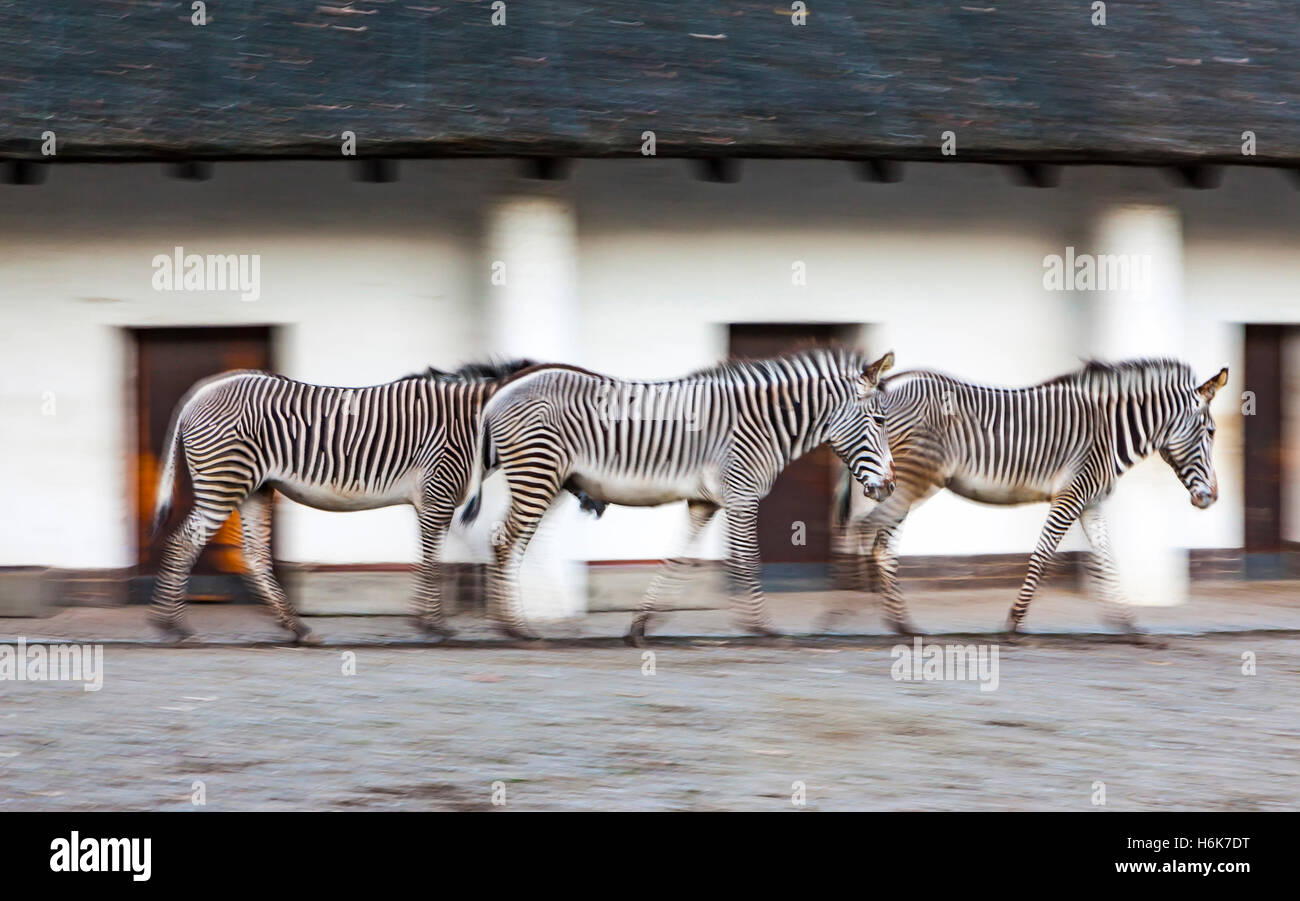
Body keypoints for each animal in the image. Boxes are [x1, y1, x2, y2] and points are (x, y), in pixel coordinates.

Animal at [148, 356, 538, 642]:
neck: (472, 425)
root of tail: (202, 391)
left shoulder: (433, 502)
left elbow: (438, 556)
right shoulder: (436, 494)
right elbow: (433, 560)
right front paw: (434, 624)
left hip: (253, 489)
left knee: (255, 556)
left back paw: (296, 627)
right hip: (224, 481)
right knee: (184, 542)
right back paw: (172, 625)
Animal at [462, 348, 899, 642]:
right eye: (879, 420)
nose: (890, 487)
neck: (761, 425)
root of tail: (502, 390)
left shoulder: (705, 502)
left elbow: (676, 559)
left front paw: (641, 625)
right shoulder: (741, 495)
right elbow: (747, 560)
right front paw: (761, 627)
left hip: (546, 481)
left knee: (512, 544)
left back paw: (513, 622)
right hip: (537, 475)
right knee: (503, 543)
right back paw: (513, 628)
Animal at [832, 356, 1227, 637]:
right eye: (1210, 431)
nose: (1212, 497)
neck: (1110, 433)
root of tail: (891, 382)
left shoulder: (1091, 503)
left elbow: (1108, 560)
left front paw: (1128, 623)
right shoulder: (1070, 496)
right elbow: (1042, 555)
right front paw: (1014, 621)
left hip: (906, 483)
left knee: (881, 543)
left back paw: (898, 623)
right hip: (914, 480)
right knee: (870, 535)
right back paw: (848, 615)